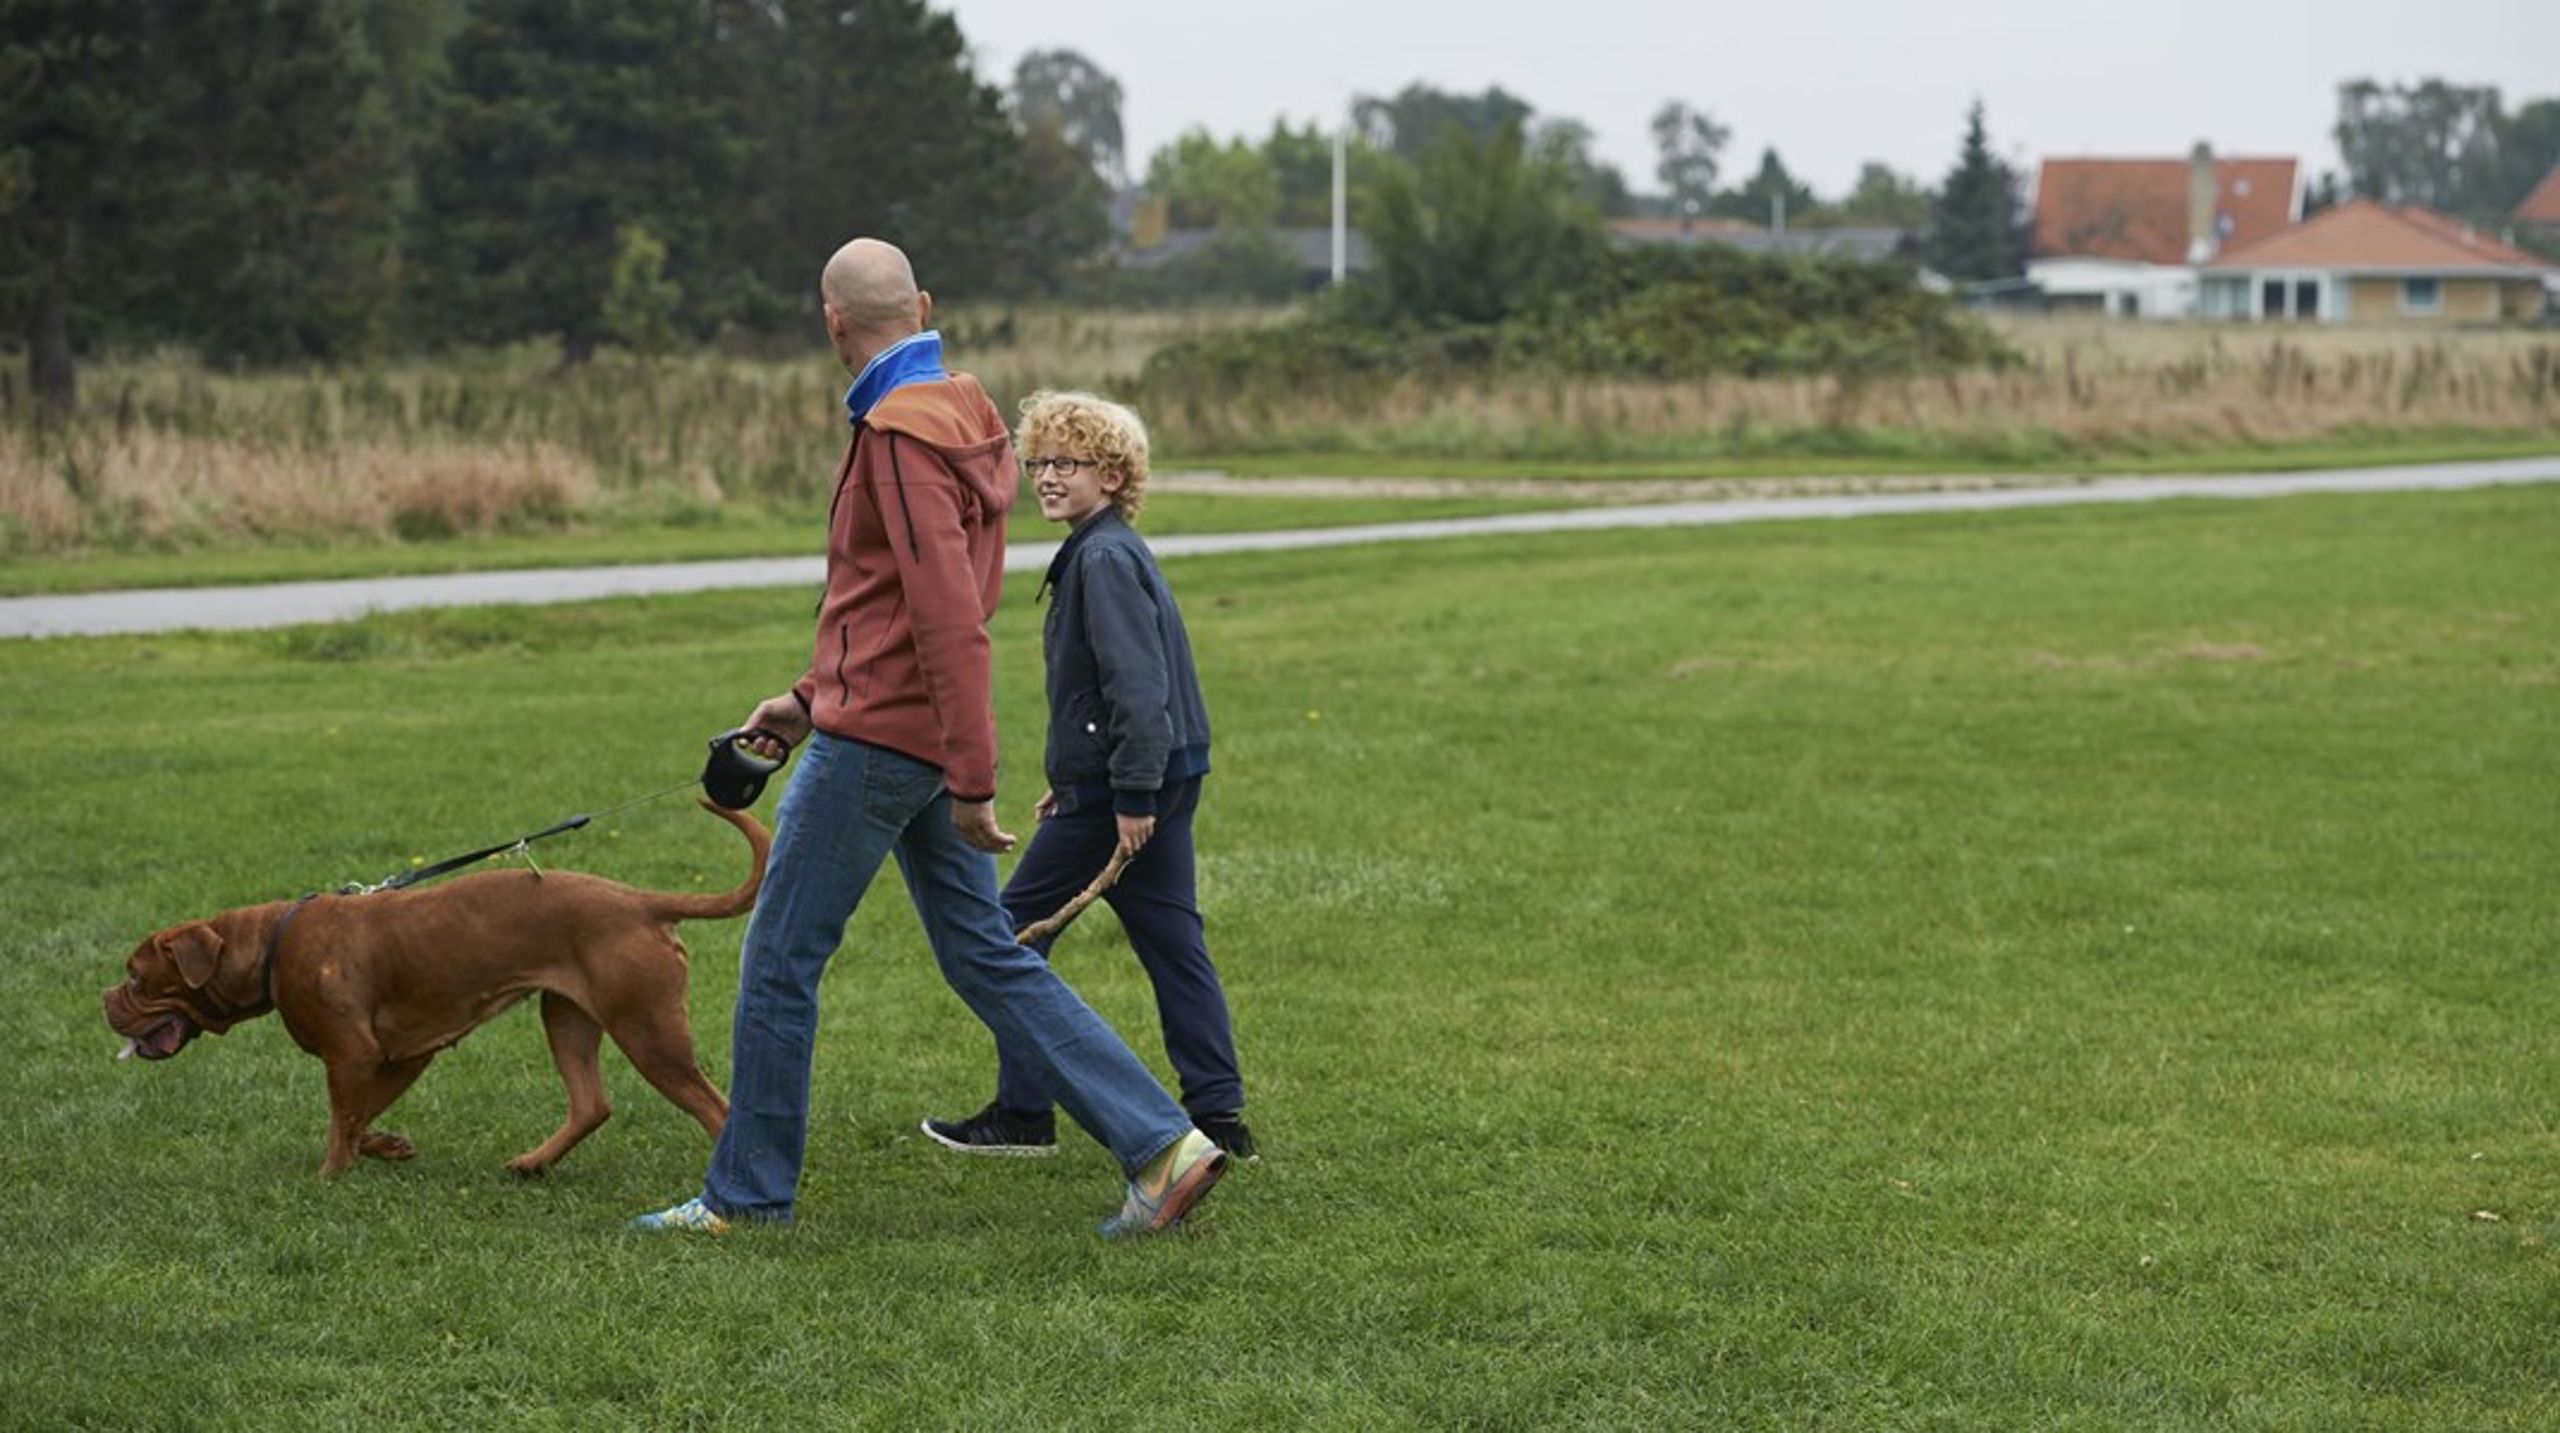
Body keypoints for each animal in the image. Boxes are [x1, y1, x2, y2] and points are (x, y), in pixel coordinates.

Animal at [104, 793, 762, 1177]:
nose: (104, 1000)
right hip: (567, 1016)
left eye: (136, 977)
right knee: (591, 1104)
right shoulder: (400, 1054)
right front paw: (384, 1146)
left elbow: (341, 1121)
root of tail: (642, 901)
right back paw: (533, 1163)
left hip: (648, 1030)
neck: (270, 943)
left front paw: (330, 1178)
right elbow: (359, 1117)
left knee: (716, 1108)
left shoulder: (352, 1054)